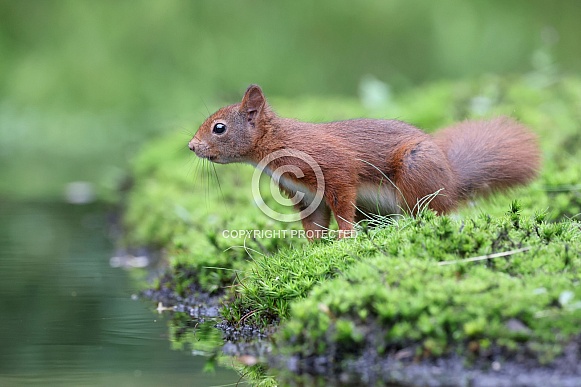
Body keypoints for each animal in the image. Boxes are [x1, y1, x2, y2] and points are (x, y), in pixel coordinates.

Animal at [189, 85, 540, 239]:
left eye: (219, 128)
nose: (191, 146)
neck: (277, 144)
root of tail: (454, 182)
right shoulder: (305, 193)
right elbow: (313, 222)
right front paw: (311, 247)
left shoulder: (333, 166)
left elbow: (342, 204)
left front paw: (344, 238)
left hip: (416, 171)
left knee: (432, 212)